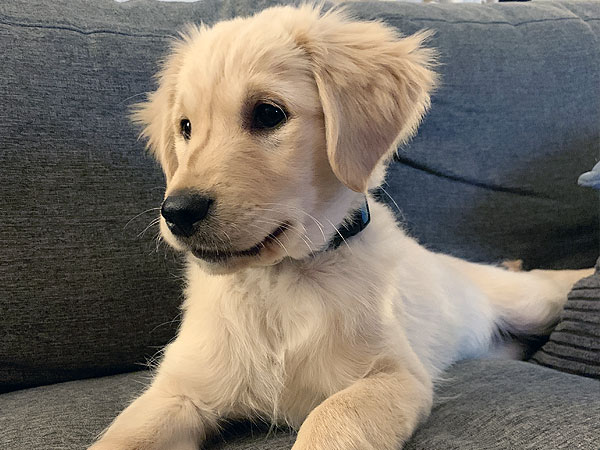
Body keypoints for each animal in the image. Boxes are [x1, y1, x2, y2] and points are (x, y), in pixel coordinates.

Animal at [89, 4, 596, 450]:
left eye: (269, 114)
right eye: (186, 127)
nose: (177, 212)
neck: (281, 280)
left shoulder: (394, 376)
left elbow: (332, 417)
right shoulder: (179, 391)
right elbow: (123, 437)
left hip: (531, 302)